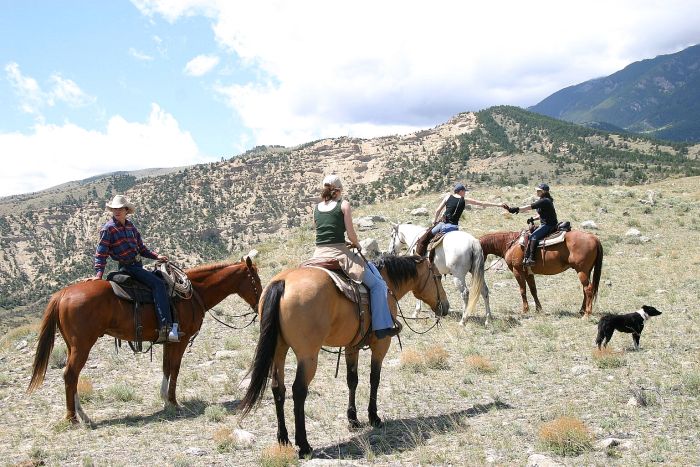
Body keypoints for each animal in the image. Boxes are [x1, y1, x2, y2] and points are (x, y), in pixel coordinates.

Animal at [26, 258, 262, 426]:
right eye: (256, 282)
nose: (260, 305)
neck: (193, 294)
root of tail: (62, 294)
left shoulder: (169, 342)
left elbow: (166, 368)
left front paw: (165, 400)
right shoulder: (181, 340)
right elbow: (175, 369)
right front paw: (174, 402)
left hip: (71, 346)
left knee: (73, 376)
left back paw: (83, 416)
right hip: (82, 345)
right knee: (70, 374)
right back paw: (72, 418)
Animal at [239, 254, 448, 458]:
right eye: (438, 277)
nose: (445, 306)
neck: (387, 281)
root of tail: (282, 282)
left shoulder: (351, 347)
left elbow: (352, 380)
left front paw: (353, 418)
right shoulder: (381, 345)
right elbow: (374, 379)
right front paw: (374, 417)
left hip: (279, 351)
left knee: (278, 388)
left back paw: (283, 439)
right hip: (308, 356)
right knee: (298, 391)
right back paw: (304, 445)